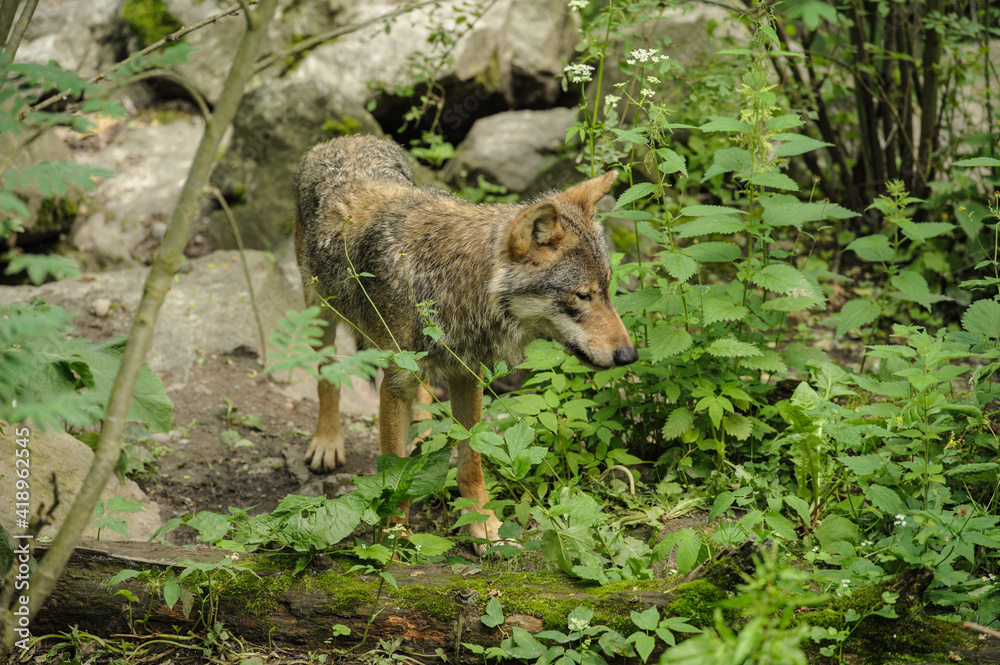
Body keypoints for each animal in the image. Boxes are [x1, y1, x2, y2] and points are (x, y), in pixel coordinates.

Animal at [293, 135, 637, 551]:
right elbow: (393, 475)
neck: (453, 282)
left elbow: (471, 463)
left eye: (607, 290)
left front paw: (485, 528)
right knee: (327, 377)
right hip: (320, 313)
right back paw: (328, 442)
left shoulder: (467, 373)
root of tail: (344, 139)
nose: (629, 354)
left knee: (423, 396)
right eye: (582, 296)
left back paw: (424, 430)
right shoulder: (395, 383)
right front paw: (395, 538)